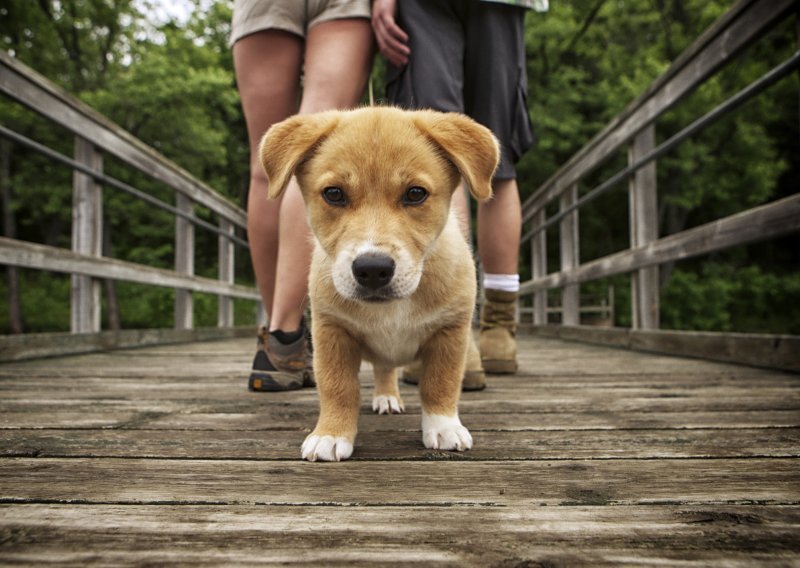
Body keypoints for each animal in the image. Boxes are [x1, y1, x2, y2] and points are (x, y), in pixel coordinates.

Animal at [260, 107, 496, 462]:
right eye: (334, 194)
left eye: (415, 194)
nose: (372, 269)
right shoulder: (331, 331)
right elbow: (337, 387)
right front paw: (330, 434)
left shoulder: (450, 332)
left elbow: (440, 384)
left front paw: (443, 427)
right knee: (384, 369)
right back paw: (385, 397)